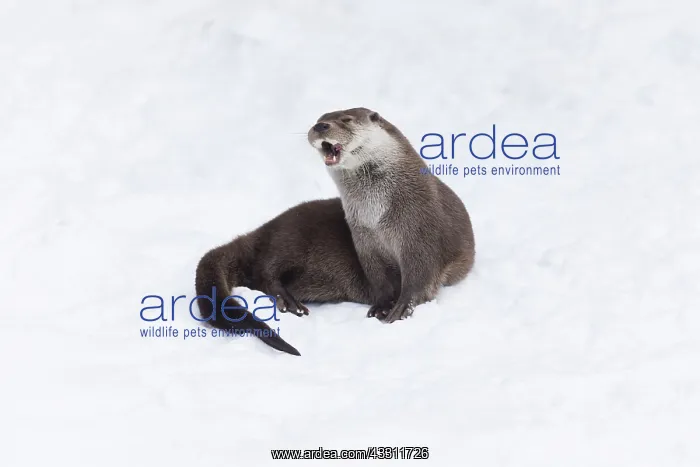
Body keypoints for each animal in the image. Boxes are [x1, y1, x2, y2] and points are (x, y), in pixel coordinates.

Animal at [307, 108, 475, 323]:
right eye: (318, 120)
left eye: (347, 120)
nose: (320, 126)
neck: (376, 214)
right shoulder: (364, 238)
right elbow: (379, 278)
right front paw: (382, 306)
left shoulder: (418, 230)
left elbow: (419, 275)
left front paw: (402, 308)